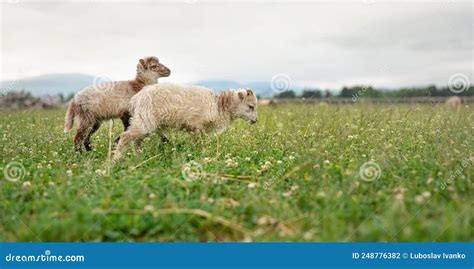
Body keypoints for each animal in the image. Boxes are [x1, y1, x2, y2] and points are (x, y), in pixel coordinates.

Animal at [112, 83, 258, 159]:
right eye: (251, 106)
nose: (256, 120)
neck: (219, 105)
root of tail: (136, 98)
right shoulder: (197, 125)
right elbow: (198, 143)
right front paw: (198, 154)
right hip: (145, 119)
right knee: (125, 137)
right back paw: (116, 159)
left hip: (144, 121)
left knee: (137, 140)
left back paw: (139, 156)